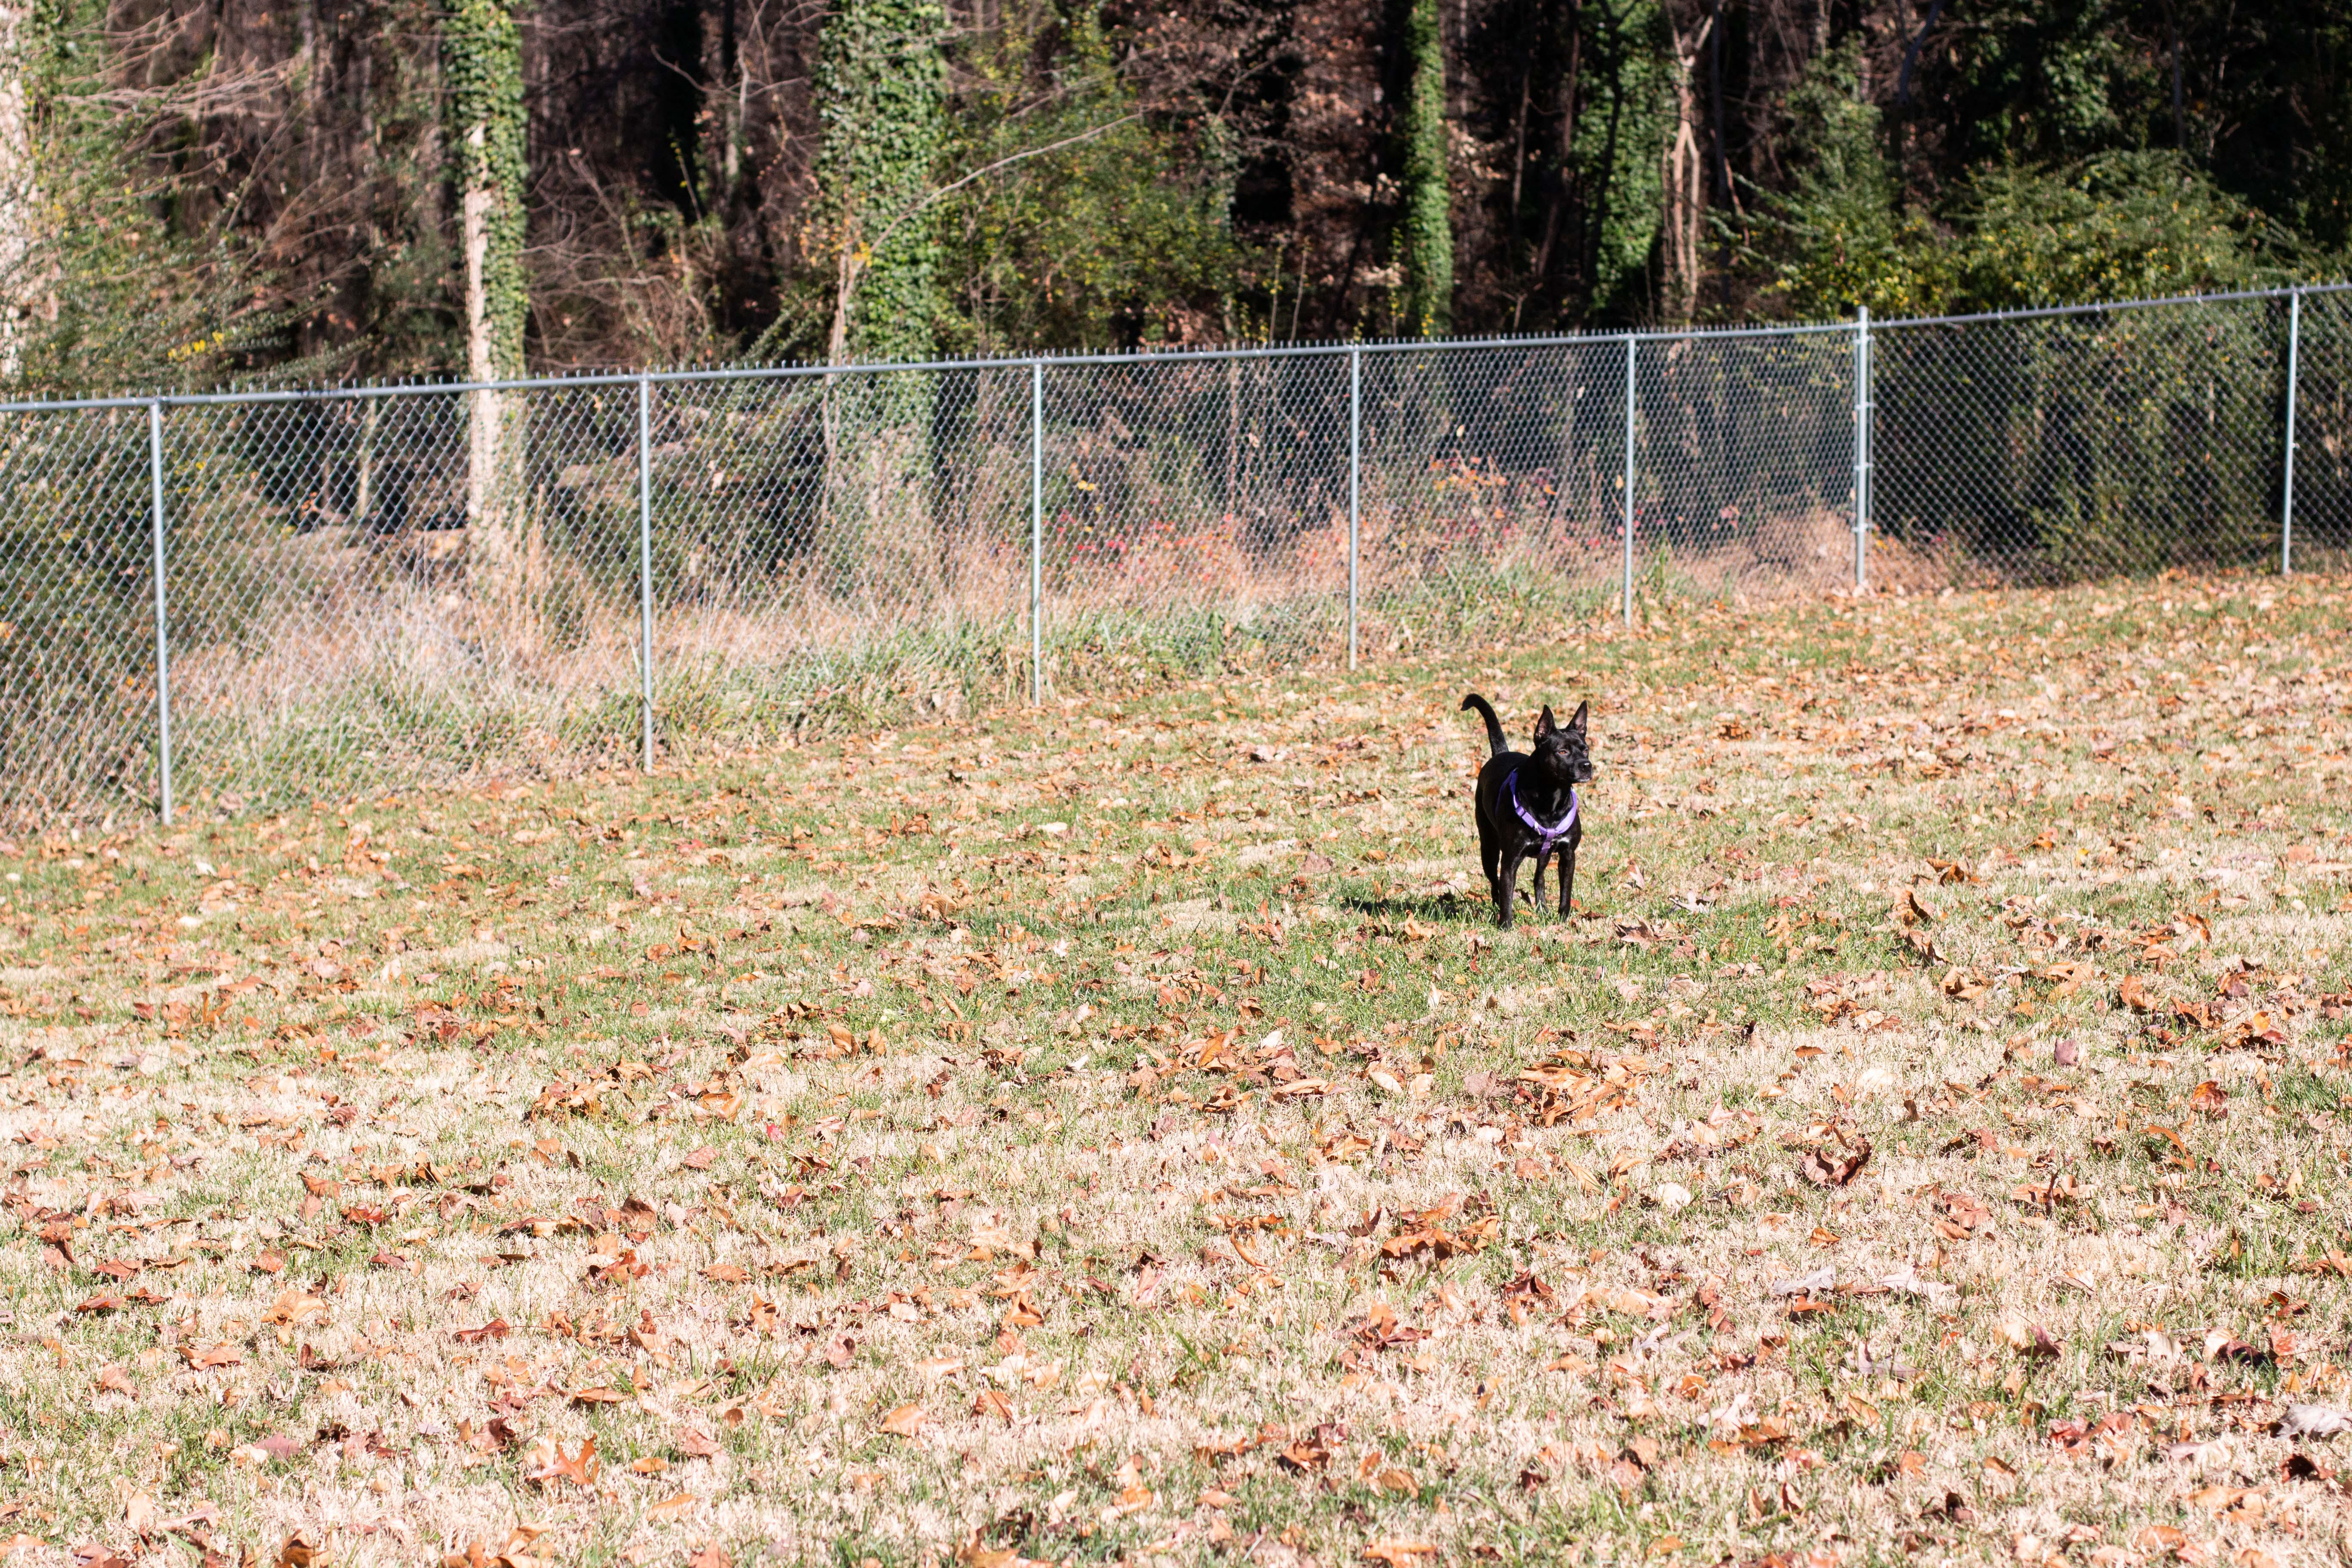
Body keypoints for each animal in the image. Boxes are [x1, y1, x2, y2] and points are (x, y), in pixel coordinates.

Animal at [1458, 691, 1590, 926]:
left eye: (1586, 750)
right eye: (1562, 751)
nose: (1587, 766)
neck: (1552, 799)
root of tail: (1500, 753)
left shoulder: (1568, 855)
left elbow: (1566, 892)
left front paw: (1564, 920)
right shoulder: (1511, 859)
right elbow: (1507, 893)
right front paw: (1506, 926)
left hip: (1544, 855)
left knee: (1539, 878)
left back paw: (1543, 909)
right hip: (1489, 849)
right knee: (1495, 884)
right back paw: (1496, 909)